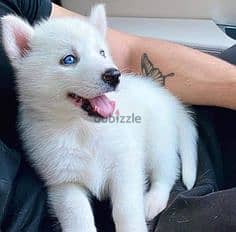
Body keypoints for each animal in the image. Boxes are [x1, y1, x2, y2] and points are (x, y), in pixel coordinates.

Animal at [1, 5, 197, 232]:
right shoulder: (64, 182)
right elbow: (78, 218)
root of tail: (167, 98)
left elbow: (126, 209)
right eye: (69, 59)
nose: (114, 75)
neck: (81, 129)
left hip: (158, 142)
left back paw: (153, 201)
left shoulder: (125, 164)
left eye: (102, 53)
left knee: (167, 172)